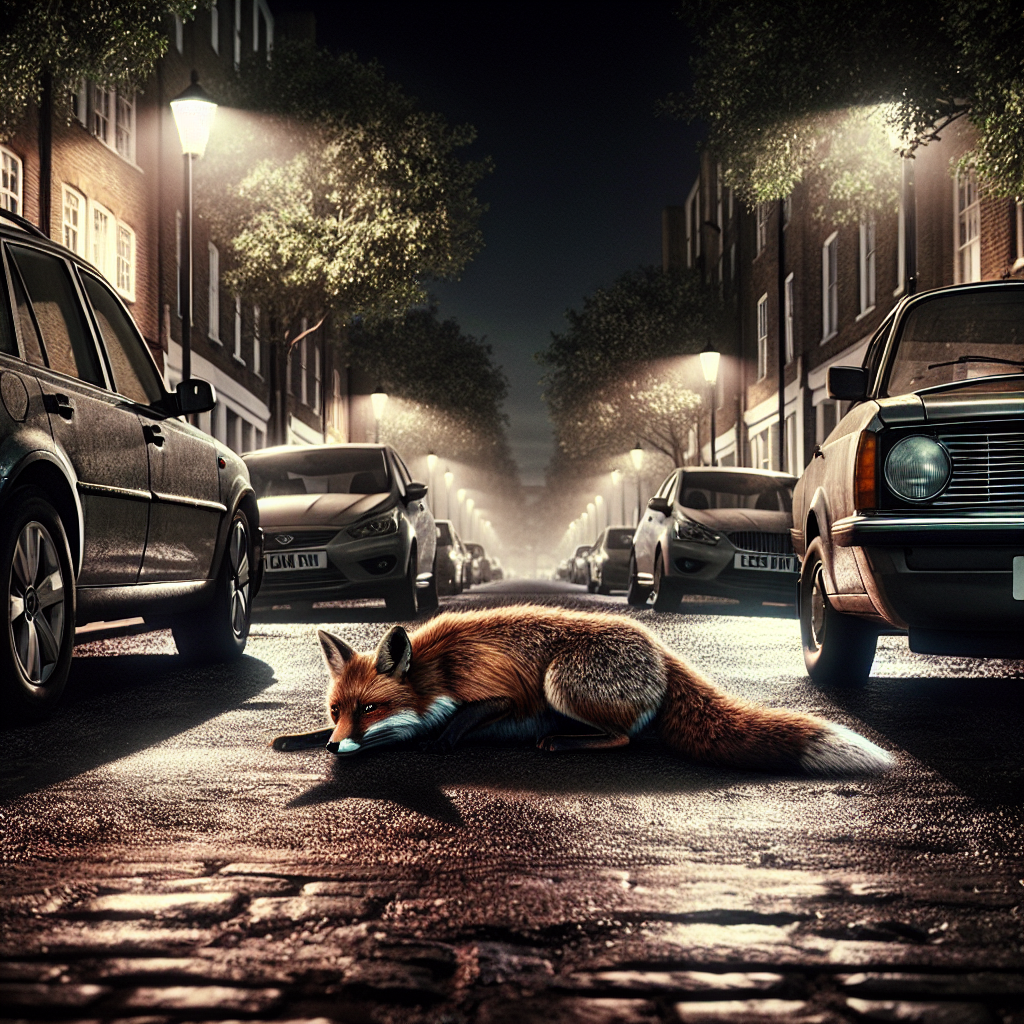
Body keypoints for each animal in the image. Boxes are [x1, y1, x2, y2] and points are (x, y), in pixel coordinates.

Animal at [271, 605, 893, 775]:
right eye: (338, 709)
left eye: (372, 707)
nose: (335, 749)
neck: (434, 671)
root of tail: (659, 647)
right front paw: (299, 739)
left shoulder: (500, 689)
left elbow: (466, 717)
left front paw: (440, 740)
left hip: (559, 682)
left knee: (624, 739)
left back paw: (562, 742)